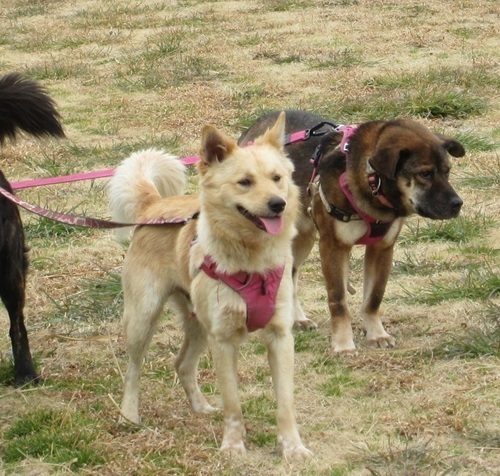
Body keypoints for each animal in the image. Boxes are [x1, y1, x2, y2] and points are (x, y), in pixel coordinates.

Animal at [109, 112, 312, 459]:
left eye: (277, 178)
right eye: (244, 182)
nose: (278, 204)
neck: (251, 261)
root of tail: (155, 206)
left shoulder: (280, 337)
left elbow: (285, 403)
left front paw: (293, 448)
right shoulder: (224, 340)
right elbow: (233, 405)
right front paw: (233, 447)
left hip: (198, 324)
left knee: (182, 364)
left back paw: (200, 406)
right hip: (143, 317)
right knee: (134, 368)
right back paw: (128, 415)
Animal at [239, 110, 465, 353]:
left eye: (447, 171)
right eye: (425, 174)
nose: (457, 204)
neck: (370, 182)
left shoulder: (382, 248)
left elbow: (374, 298)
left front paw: (376, 334)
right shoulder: (333, 247)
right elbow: (338, 300)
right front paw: (343, 344)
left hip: (303, 236)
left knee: (290, 274)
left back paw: (297, 319)